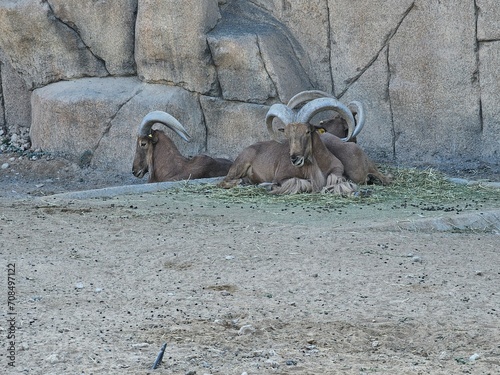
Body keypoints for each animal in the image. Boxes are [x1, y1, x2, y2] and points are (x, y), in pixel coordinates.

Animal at [218, 98, 356, 195]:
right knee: (223, 181)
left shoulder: (337, 172)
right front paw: (270, 186)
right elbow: (302, 183)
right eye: (287, 134)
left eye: (308, 131)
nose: (295, 158)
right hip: (240, 165)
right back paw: (242, 183)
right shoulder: (281, 177)